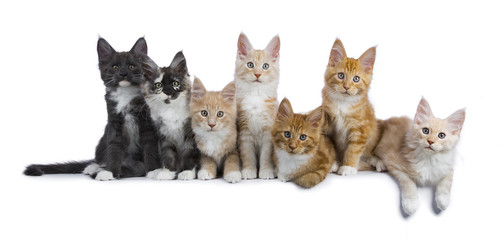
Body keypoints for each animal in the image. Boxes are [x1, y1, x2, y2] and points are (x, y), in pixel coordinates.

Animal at [24, 37, 159, 180]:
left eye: (131, 66)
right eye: (115, 67)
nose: (123, 73)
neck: (125, 94)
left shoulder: (147, 124)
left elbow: (150, 148)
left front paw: (153, 170)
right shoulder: (114, 124)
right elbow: (114, 149)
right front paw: (111, 172)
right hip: (103, 138)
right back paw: (94, 167)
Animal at [141, 52, 200, 180]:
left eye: (175, 83)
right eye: (158, 85)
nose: (167, 91)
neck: (171, 110)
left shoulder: (190, 134)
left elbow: (188, 152)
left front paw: (187, 172)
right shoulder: (164, 135)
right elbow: (168, 154)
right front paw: (167, 172)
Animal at [235, 32, 282, 179]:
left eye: (265, 66)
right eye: (250, 65)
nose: (257, 74)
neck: (255, 95)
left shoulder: (268, 131)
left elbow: (266, 155)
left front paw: (266, 171)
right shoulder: (244, 131)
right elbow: (247, 154)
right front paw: (249, 170)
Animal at [320, 38, 380, 176]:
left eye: (356, 79)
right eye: (341, 75)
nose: (346, 87)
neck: (343, 103)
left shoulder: (360, 129)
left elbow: (353, 150)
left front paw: (348, 167)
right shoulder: (329, 123)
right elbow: (330, 145)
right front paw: (334, 163)